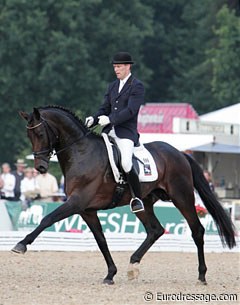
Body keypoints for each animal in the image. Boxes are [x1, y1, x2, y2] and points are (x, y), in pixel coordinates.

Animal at [12, 105, 235, 284]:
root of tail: (180, 153)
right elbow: (101, 240)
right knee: (155, 230)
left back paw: (202, 275)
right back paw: (133, 265)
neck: (82, 153)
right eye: (29, 136)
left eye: (40, 134)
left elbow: (47, 219)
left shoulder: (76, 202)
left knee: (197, 230)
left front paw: (21, 245)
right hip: (144, 202)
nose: (40, 168)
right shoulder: (87, 210)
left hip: (182, 197)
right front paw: (110, 274)